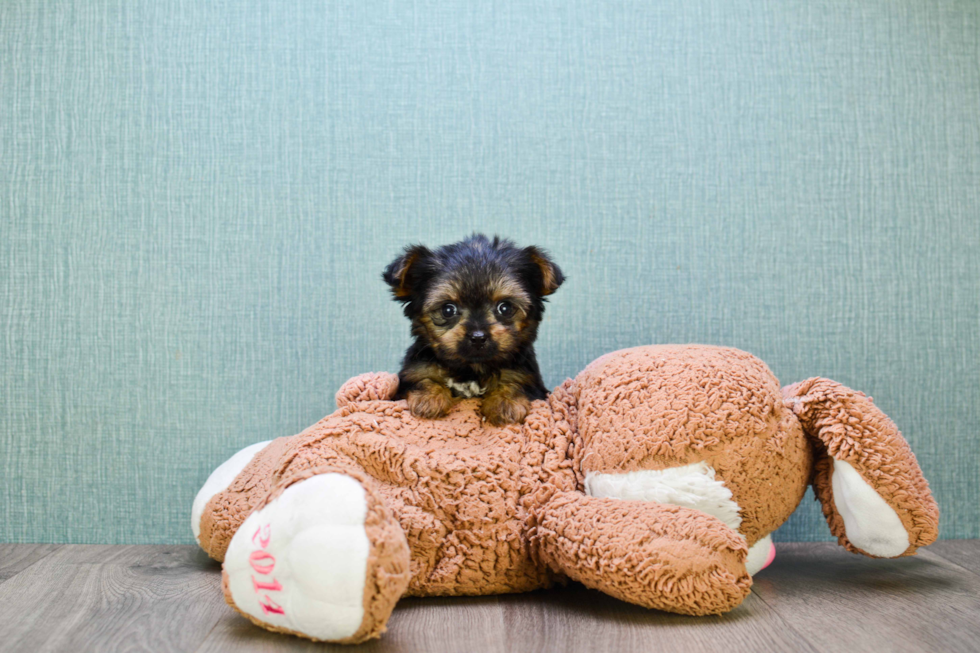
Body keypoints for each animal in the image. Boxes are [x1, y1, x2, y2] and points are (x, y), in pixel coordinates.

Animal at [384, 233, 568, 422]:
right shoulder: (414, 371)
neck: (472, 369)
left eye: (505, 308)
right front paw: (429, 398)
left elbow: (515, 383)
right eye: (448, 310)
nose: (478, 337)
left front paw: (505, 402)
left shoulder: (528, 378)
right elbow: (423, 379)